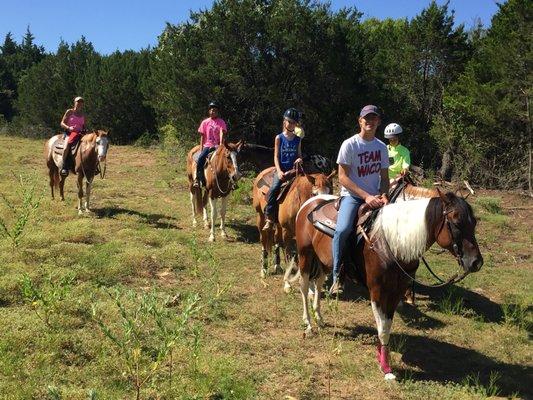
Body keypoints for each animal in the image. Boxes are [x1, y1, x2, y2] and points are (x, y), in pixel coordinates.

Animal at [290, 192, 482, 380]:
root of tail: (311, 201)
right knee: (304, 286)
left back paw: (319, 319)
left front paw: (382, 358)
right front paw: (385, 367)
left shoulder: (396, 292)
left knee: (318, 283)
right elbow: (382, 327)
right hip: (305, 254)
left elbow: (387, 325)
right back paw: (308, 324)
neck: (392, 244)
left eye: (474, 222)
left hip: (323, 262)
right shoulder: (377, 291)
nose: (476, 262)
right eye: (456, 222)